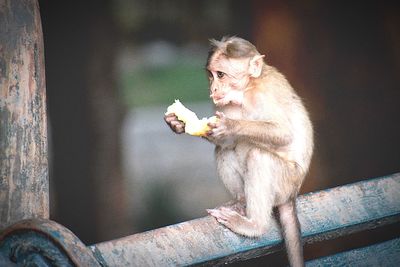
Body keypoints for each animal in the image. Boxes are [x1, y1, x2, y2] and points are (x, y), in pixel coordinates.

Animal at [164, 36, 314, 267]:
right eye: (211, 75)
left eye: (221, 74)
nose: (214, 87)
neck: (249, 86)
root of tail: (292, 195)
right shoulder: (228, 105)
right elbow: (226, 142)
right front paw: (177, 123)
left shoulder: (260, 95)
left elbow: (283, 133)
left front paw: (230, 125)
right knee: (225, 150)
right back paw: (241, 201)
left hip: (286, 183)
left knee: (258, 154)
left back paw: (254, 226)